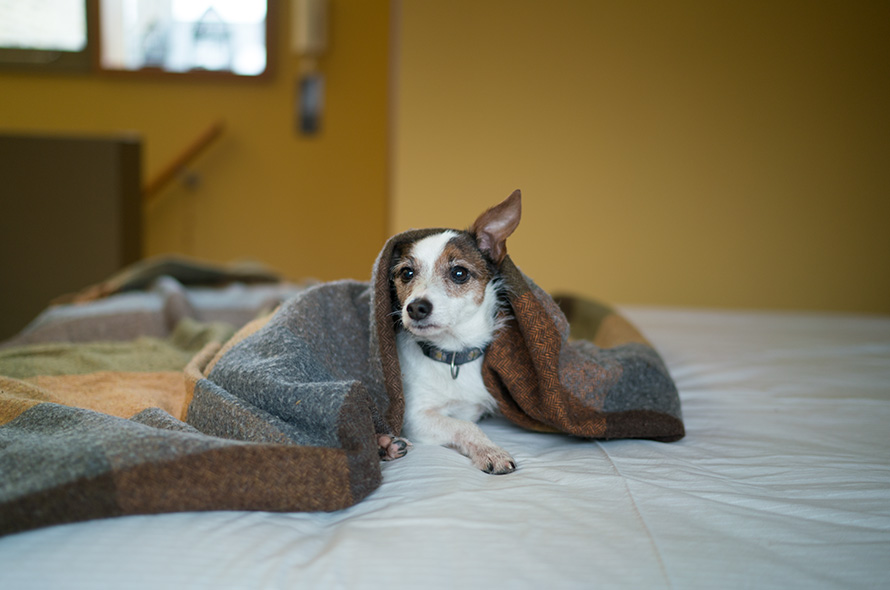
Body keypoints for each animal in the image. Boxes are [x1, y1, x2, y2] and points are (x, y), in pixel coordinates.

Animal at [388, 191, 520, 476]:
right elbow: (464, 425)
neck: (452, 354)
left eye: (459, 273)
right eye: (406, 273)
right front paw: (490, 451)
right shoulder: (415, 416)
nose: (415, 308)